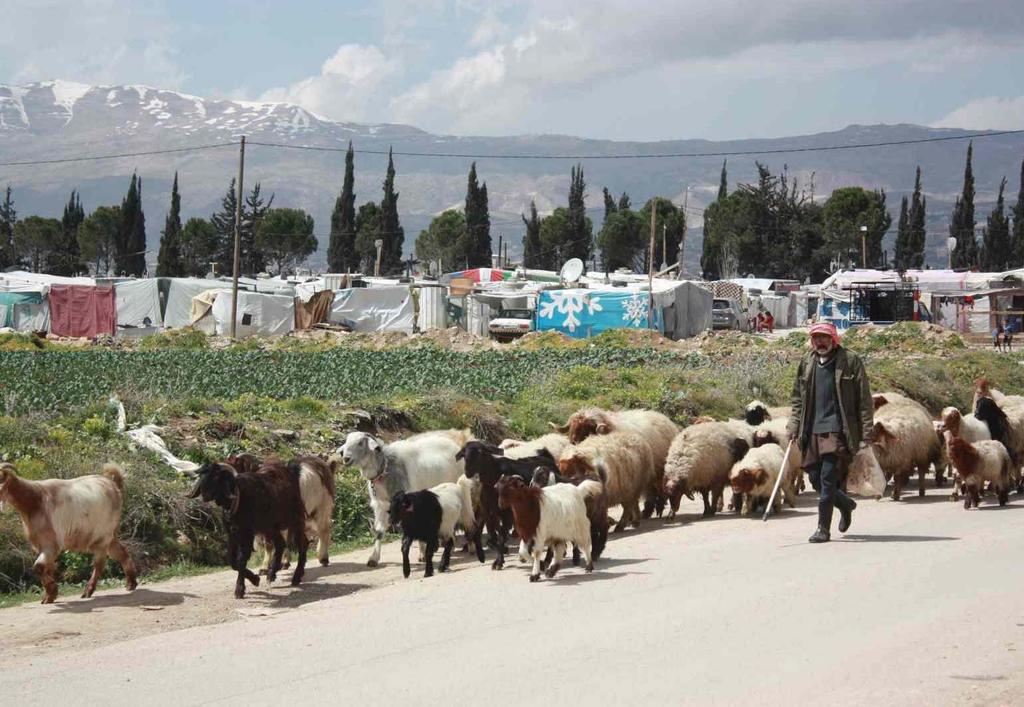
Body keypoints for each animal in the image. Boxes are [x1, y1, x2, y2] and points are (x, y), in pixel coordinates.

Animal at [0, 463, 137, 598]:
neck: (35, 501)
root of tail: (114, 485)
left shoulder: (52, 544)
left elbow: (38, 567)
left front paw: (51, 593)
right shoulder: (42, 544)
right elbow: (47, 568)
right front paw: (50, 595)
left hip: (102, 536)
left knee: (99, 564)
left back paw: (88, 591)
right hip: (109, 536)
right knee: (121, 553)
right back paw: (131, 584)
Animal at [189, 456, 307, 594]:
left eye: (217, 476)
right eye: (202, 475)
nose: (204, 493)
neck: (238, 498)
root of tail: (291, 471)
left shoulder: (247, 533)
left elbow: (241, 559)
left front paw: (240, 588)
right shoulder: (232, 533)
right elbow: (233, 561)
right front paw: (254, 578)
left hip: (295, 519)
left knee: (302, 544)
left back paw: (296, 576)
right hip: (270, 526)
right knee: (280, 544)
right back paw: (271, 573)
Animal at [337, 426, 468, 565]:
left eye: (360, 442)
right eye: (346, 441)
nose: (346, 458)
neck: (386, 469)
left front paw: (422, 554)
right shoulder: (380, 505)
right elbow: (379, 532)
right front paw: (373, 558)